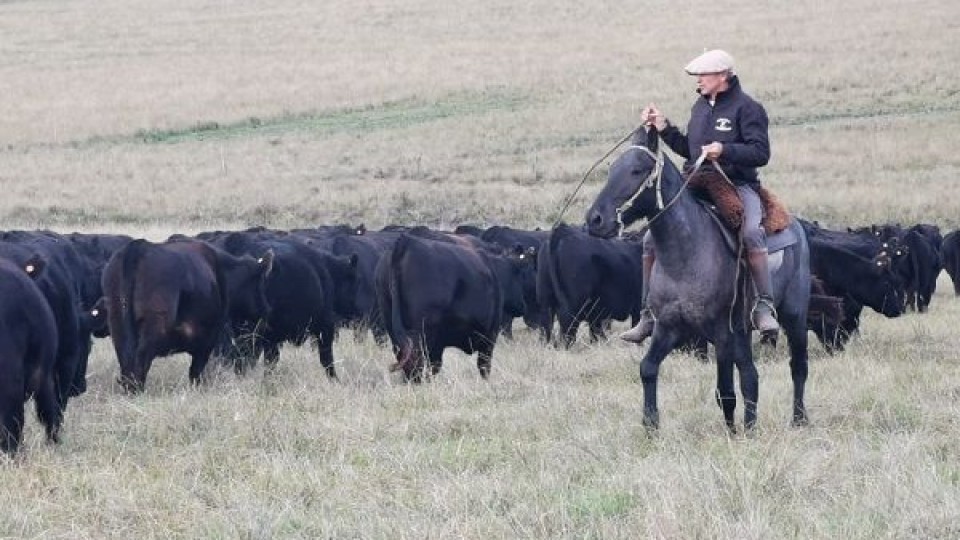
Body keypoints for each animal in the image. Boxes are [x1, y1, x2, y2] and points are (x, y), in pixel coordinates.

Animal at [101, 237, 274, 392]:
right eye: (260, 283)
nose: (267, 309)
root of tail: (138, 247)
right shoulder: (207, 341)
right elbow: (196, 374)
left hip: (118, 326)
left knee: (127, 365)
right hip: (154, 327)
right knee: (140, 363)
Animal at [584, 131, 808, 430]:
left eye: (637, 170)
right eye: (612, 169)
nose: (595, 220)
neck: (686, 254)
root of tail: (796, 227)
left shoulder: (722, 334)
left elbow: (725, 390)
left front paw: (732, 433)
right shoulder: (667, 327)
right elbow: (648, 369)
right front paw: (650, 427)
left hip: (794, 317)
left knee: (797, 367)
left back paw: (798, 419)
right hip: (744, 332)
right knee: (750, 375)